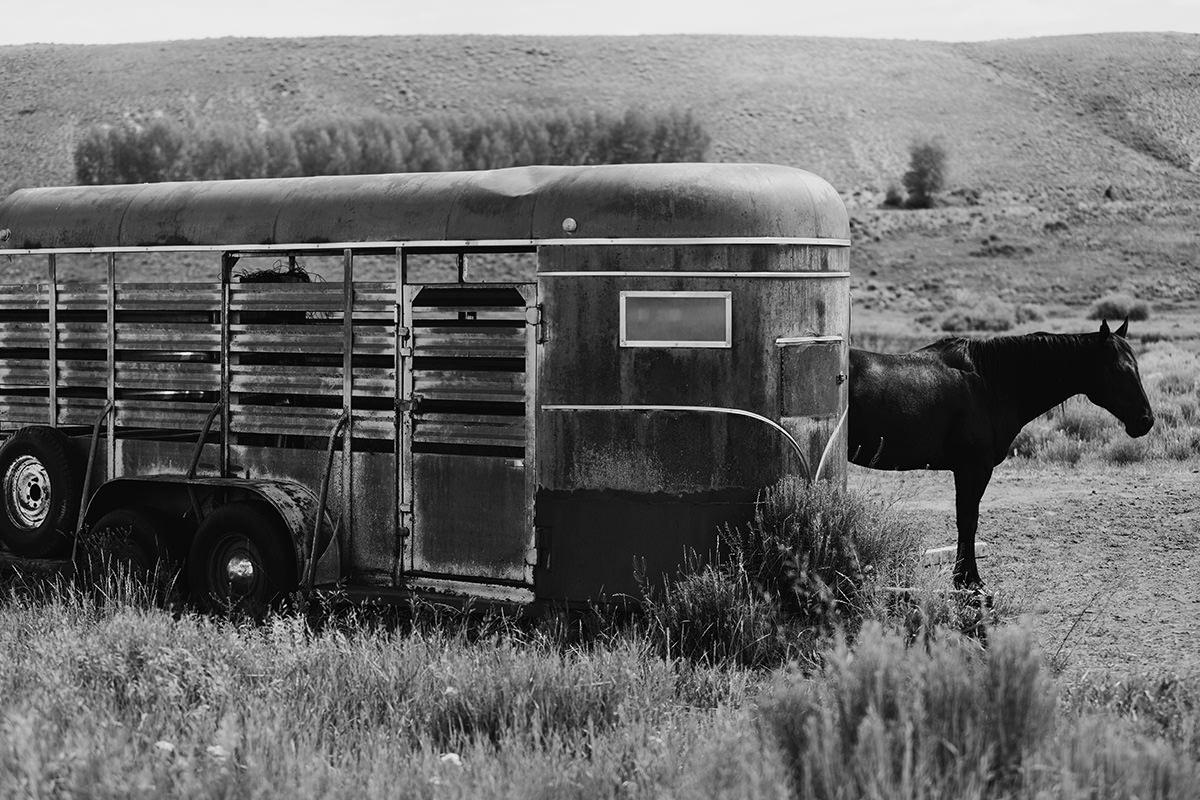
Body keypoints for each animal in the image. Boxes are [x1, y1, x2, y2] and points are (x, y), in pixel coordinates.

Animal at [849, 319, 1156, 587]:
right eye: (1118, 370)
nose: (1146, 420)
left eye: (1136, 367)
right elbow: (967, 522)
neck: (989, 383)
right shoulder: (973, 469)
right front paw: (970, 581)